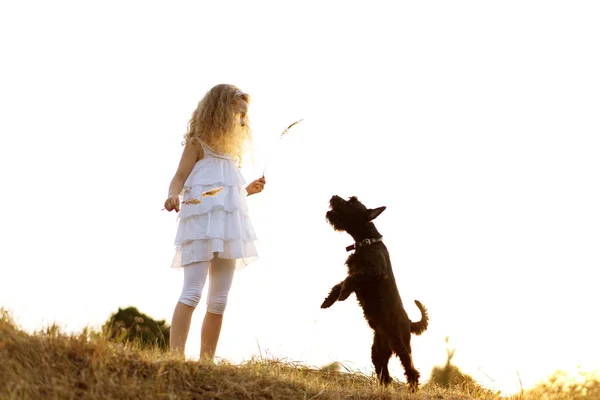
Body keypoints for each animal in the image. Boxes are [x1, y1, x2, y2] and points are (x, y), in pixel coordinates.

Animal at [322, 195, 428, 392]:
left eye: (352, 202)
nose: (333, 197)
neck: (368, 242)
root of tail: (410, 322)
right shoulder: (355, 272)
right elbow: (340, 283)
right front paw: (329, 300)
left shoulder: (374, 272)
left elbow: (351, 279)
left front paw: (343, 294)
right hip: (379, 349)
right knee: (384, 372)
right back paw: (382, 387)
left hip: (400, 343)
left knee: (411, 370)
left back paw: (412, 389)